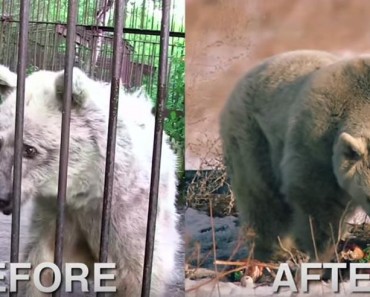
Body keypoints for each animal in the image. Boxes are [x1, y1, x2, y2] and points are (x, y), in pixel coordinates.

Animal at [0, 65, 182, 296]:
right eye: (0, 141)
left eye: (29, 149)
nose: (2, 197)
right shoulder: (58, 214)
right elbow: (40, 262)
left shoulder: (131, 214)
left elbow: (136, 274)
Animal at [220, 49, 370, 262]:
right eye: (369, 197)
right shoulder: (317, 140)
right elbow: (317, 200)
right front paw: (321, 250)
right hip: (252, 135)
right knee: (261, 198)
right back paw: (272, 251)